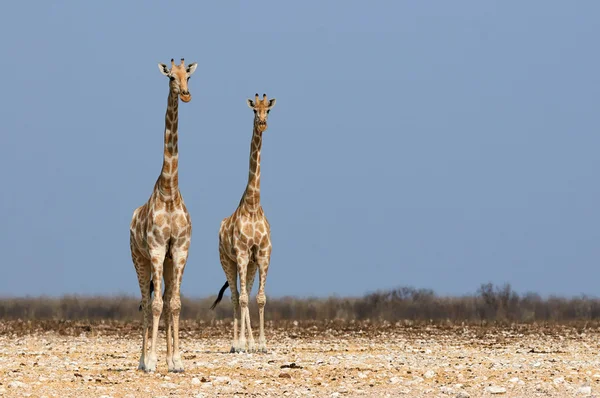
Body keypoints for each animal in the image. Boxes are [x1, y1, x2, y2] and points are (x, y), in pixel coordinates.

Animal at [211, 92, 276, 352]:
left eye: (268, 110)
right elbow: (242, 299)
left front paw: (262, 344)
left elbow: (260, 298)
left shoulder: (263, 254)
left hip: (250, 266)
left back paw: (248, 342)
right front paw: (242, 344)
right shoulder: (240, 253)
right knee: (235, 296)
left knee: (244, 293)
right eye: (254, 111)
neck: (252, 205)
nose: (262, 123)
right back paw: (237, 343)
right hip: (227, 261)